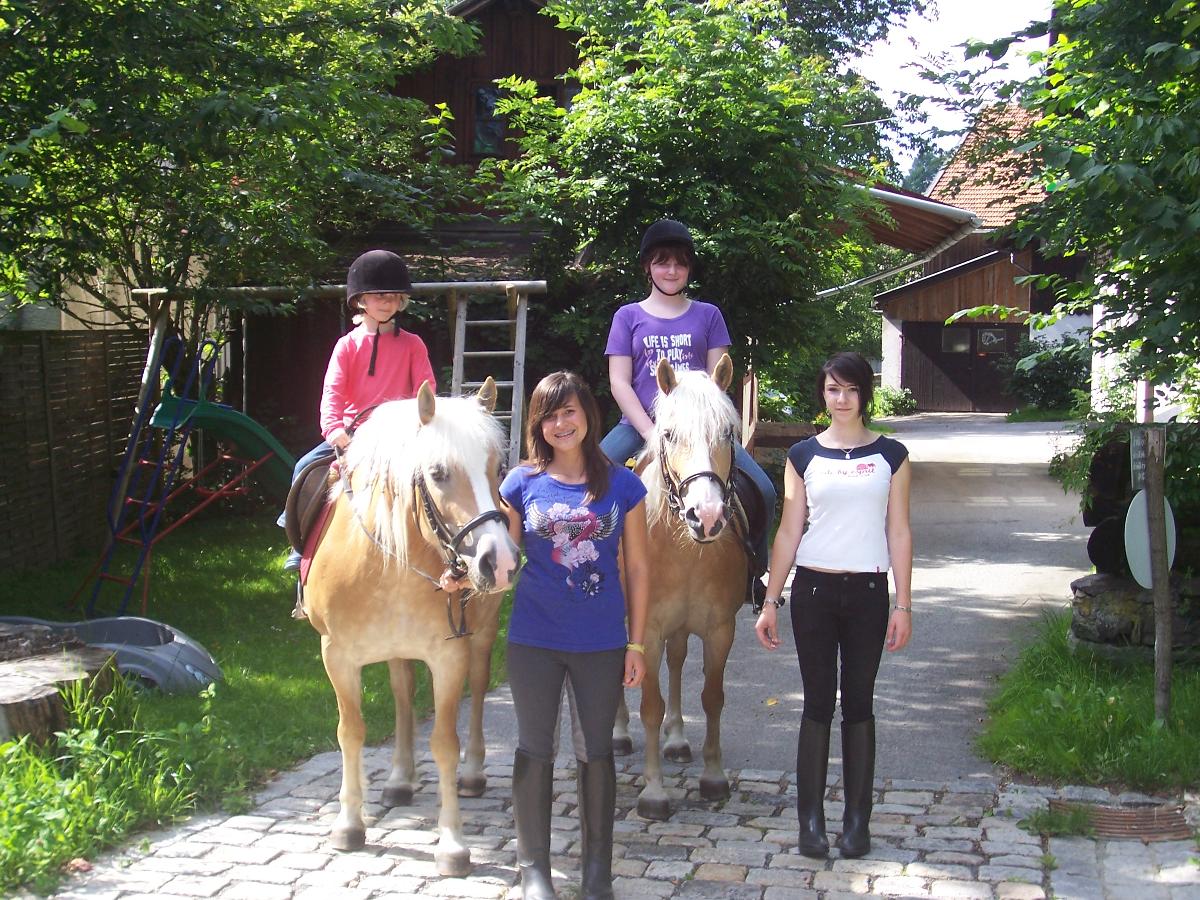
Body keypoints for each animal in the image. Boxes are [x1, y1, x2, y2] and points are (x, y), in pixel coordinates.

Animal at [303, 379, 521, 876]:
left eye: (496, 468)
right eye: (438, 472)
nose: (499, 562)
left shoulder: (449, 656)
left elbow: (445, 742)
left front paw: (453, 844)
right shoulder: (336, 655)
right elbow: (351, 731)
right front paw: (349, 824)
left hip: (482, 637)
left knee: (477, 689)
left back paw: (473, 773)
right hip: (395, 647)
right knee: (402, 693)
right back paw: (400, 779)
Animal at [613, 354, 752, 821]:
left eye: (727, 432)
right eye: (670, 434)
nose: (705, 516)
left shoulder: (720, 629)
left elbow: (712, 696)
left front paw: (713, 777)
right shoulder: (648, 631)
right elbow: (650, 706)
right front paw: (654, 793)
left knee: (676, 662)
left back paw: (676, 740)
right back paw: (619, 733)